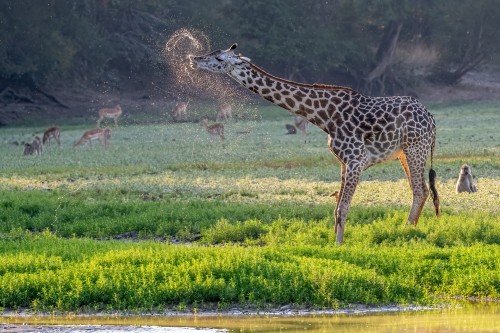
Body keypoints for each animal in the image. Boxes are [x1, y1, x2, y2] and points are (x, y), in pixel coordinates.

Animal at [189, 42, 440, 243]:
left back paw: (405, 232)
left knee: (420, 190)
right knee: (418, 190)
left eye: (219, 58)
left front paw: (339, 246)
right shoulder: (343, 161)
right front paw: (333, 242)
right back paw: (408, 231)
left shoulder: (356, 159)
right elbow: (336, 206)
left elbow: (343, 208)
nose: (194, 59)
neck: (324, 116)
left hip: (415, 148)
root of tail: (431, 118)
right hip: (403, 153)